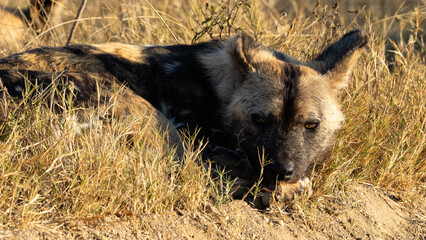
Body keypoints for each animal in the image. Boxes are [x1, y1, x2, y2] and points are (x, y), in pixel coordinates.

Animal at [0, 30, 366, 204]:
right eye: (260, 119)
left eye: (311, 125)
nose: (281, 170)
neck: (217, 89)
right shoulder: (202, 143)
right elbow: (300, 184)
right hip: (154, 125)